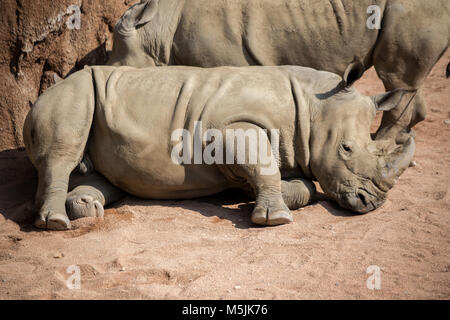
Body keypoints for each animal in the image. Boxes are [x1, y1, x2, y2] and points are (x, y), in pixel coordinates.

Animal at [22, 65, 414, 230]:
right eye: (346, 149)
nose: (371, 203)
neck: (312, 106)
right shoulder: (229, 127)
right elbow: (264, 165)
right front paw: (274, 219)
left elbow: (301, 183)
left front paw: (254, 198)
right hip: (70, 92)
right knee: (61, 152)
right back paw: (55, 223)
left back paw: (86, 206)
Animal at [107, 0, 448, 141]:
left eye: (118, 67)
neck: (156, 29)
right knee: (405, 81)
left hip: (412, 10)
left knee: (397, 76)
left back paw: (383, 143)